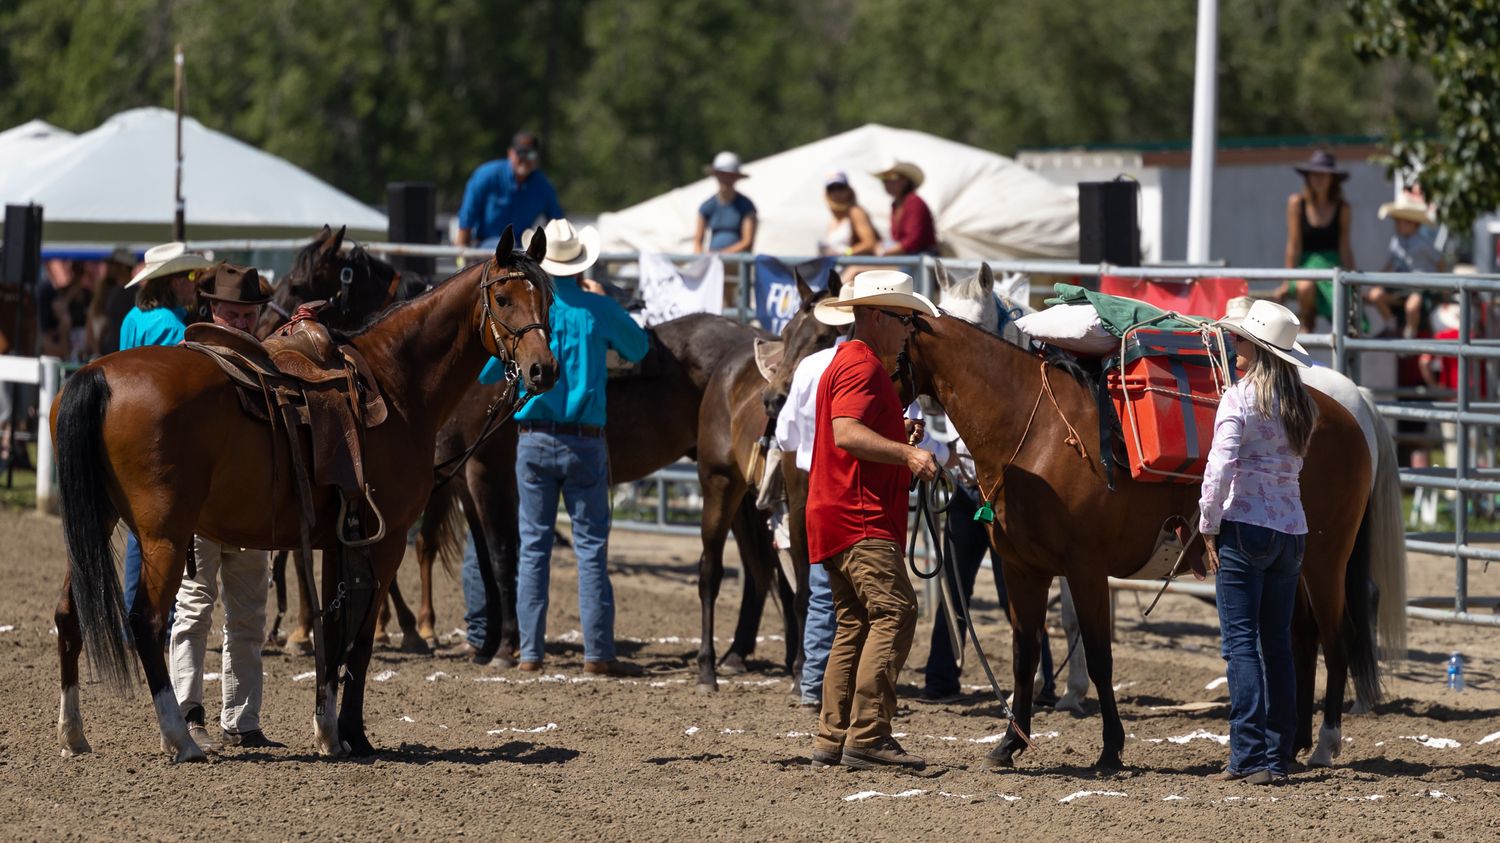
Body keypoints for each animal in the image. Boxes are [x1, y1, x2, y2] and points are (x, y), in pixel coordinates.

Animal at [52, 226, 557, 762]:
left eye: (547, 296)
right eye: (502, 298)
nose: (543, 369)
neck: (395, 381)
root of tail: (95, 375)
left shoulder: (341, 539)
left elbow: (333, 632)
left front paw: (328, 729)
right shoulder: (385, 540)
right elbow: (359, 640)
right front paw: (353, 732)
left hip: (97, 521)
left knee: (69, 616)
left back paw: (74, 733)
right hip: (164, 536)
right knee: (146, 622)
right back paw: (180, 737)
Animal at [897, 310, 1393, 771]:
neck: (1034, 432)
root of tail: (1349, 415)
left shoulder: (1086, 569)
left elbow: (1100, 656)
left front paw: (1111, 750)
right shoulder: (1024, 569)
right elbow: (1025, 656)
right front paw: (1008, 745)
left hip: (1327, 558)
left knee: (1337, 638)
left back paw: (1325, 744)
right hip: (1295, 564)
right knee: (1299, 640)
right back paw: (1290, 747)